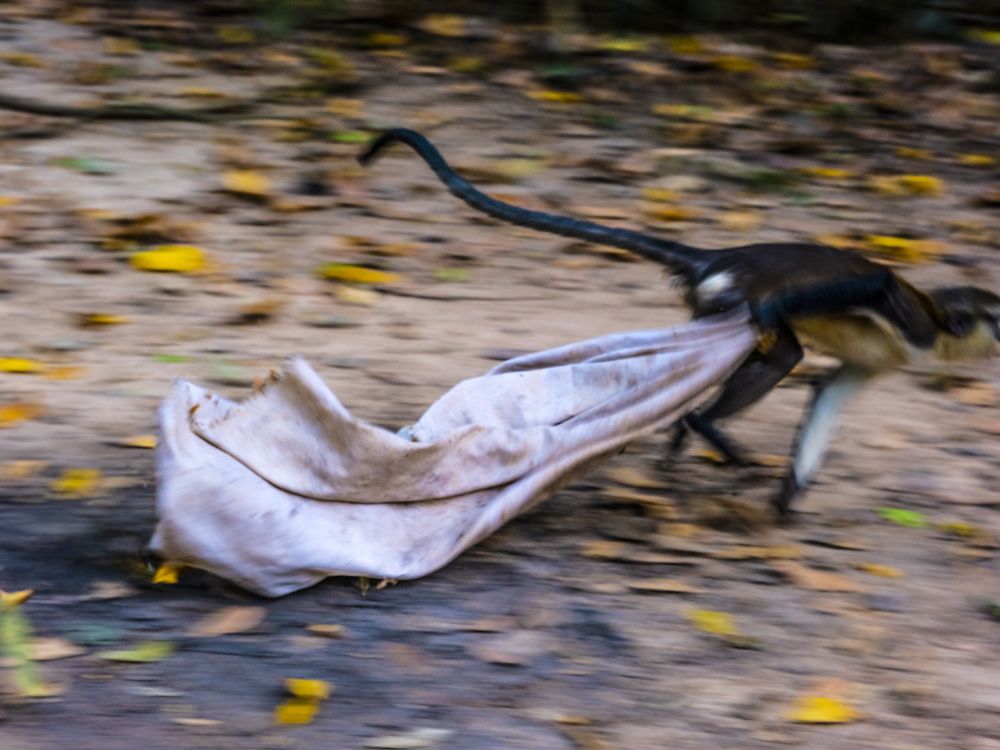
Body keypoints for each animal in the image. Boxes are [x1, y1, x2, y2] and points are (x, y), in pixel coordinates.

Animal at [358, 128, 1000, 520]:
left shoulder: (885, 357)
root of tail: (723, 258)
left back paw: (681, 442)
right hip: (736, 296)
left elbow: (829, 390)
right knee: (778, 352)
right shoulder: (912, 319)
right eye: (998, 317)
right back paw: (701, 424)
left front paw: (788, 501)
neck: (938, 339)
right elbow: (878, 285)